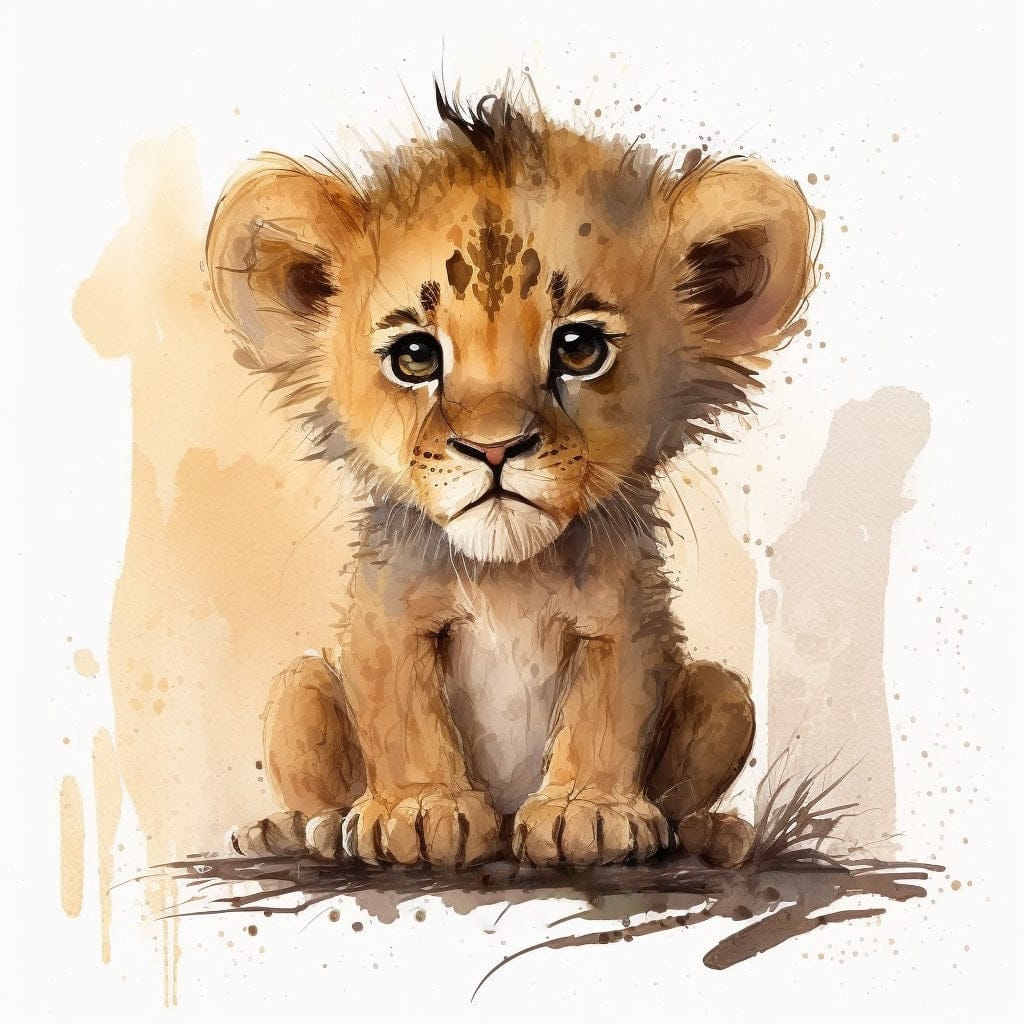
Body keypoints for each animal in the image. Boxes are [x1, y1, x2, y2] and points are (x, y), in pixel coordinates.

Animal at [205, 82, 816, 870]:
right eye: (414, 357)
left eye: (580, 347)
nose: (494, 450)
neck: (509, 577)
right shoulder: (385, 615)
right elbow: (399, 710)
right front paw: (419, 811)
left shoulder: (628, 619)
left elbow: (609, 712)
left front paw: (586, 813)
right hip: (297, 687)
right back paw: (292, 830)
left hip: (725, 694)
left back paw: (716, 834)